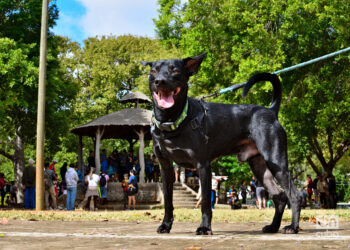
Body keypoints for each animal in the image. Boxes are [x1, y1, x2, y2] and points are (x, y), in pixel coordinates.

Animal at [141, 52, 302, 234]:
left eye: (174, 70)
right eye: (153, 71)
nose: (159, 81)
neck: (174, 121)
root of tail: (271, 111)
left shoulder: (203, 165)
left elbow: (205, 202)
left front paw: (204, 227)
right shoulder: (166, 167)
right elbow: (168, 202)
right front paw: (166, 225)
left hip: (277, 163)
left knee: (294, 195)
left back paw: (293, 227)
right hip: (260, 168)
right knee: (280, 196)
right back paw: (273, 226)